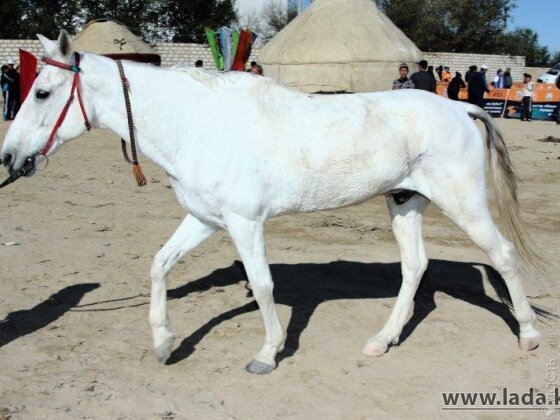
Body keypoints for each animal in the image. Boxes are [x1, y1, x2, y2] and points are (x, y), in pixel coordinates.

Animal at [2, 32, 544, 374]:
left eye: (43, 92)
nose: (9, 156)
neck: (199, 121)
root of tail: (463, 107)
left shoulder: (245, 223)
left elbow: (263, 286)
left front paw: (267, 353)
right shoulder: (205, 219)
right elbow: (160, 265)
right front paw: (163, 342)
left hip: (462, 202)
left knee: (502, 256)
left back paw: (529, 336)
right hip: (405, 201)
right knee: (414, 267)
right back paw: (381, 341)